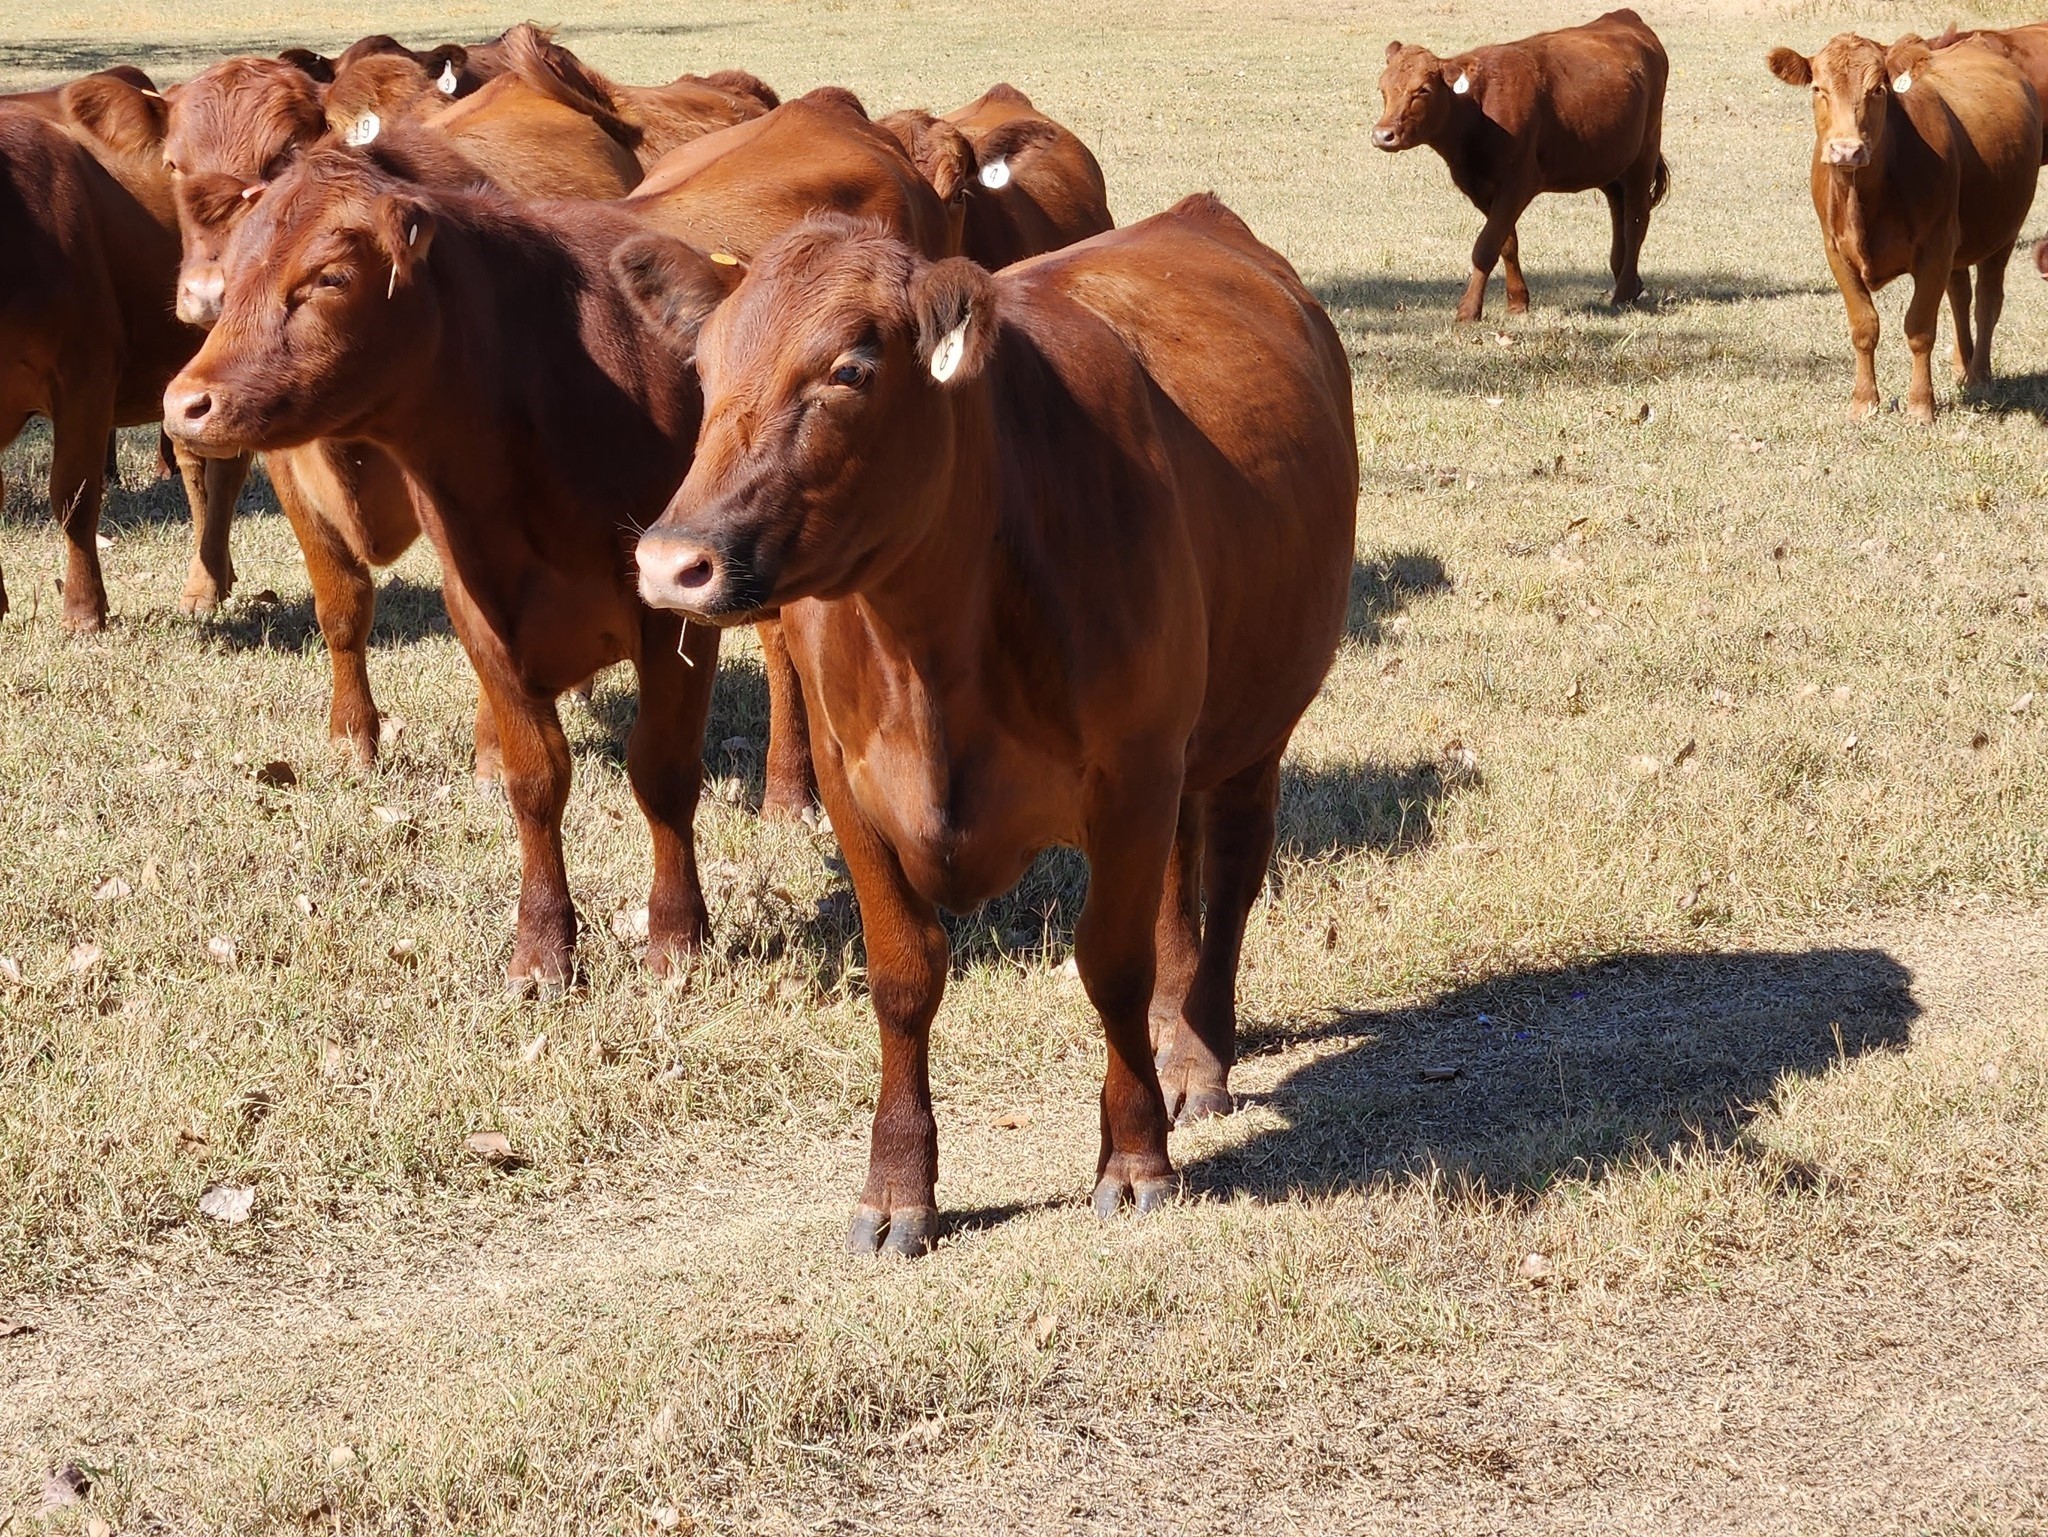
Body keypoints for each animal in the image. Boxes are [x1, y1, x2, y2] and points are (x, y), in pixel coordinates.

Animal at [163, 153, 737, 987]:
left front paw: (676, 936)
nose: (184, 403)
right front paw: (543, 948)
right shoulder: (479, 608)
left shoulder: (676, 615)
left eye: (331, 277)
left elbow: (661, 772)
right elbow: (538, 779)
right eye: (232, 276)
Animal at [622, 195, 1359, 1254]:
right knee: (1181, 875)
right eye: (707, 369)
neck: (933, 649)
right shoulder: (850, 784)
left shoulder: (1131, 772)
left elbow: (1111, 963)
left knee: (1230, 870)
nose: (672, 561)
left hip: (1256, 722)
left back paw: (1197, 1051)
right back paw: (1175, 1037)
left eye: (851, 369)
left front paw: (1134, 1158)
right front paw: (898, 1188)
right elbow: (904, 975)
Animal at [1368, 7, 1671, 321]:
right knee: (1619, 213)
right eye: (1383, 89)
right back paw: (1630, 283)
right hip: (1611, 163)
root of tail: (1624, 16)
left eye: (1423, 90)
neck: (1476, 111)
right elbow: (1507, 243)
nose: (1383, 134)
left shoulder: (1518, 184)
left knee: (1636, 221)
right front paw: (1517, 301)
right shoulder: (1479, 188)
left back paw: (1622, 294)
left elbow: (1486, 246)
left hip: (1643, 155)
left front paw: (1468, 310)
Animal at [1769, 36, 2039, 422]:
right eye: (1818, 88)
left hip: (2003, 234)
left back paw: (1978, 377)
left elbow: (1920, 328)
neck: (1864, 201)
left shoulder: (1935, 248)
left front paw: (1921, 406)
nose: (1846, 150)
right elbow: (1864, 326)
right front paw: (1864, 402)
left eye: (1878, 89)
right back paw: (1962, 367)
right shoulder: (1836, 251)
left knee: (1987, 301)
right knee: (1960, 296)